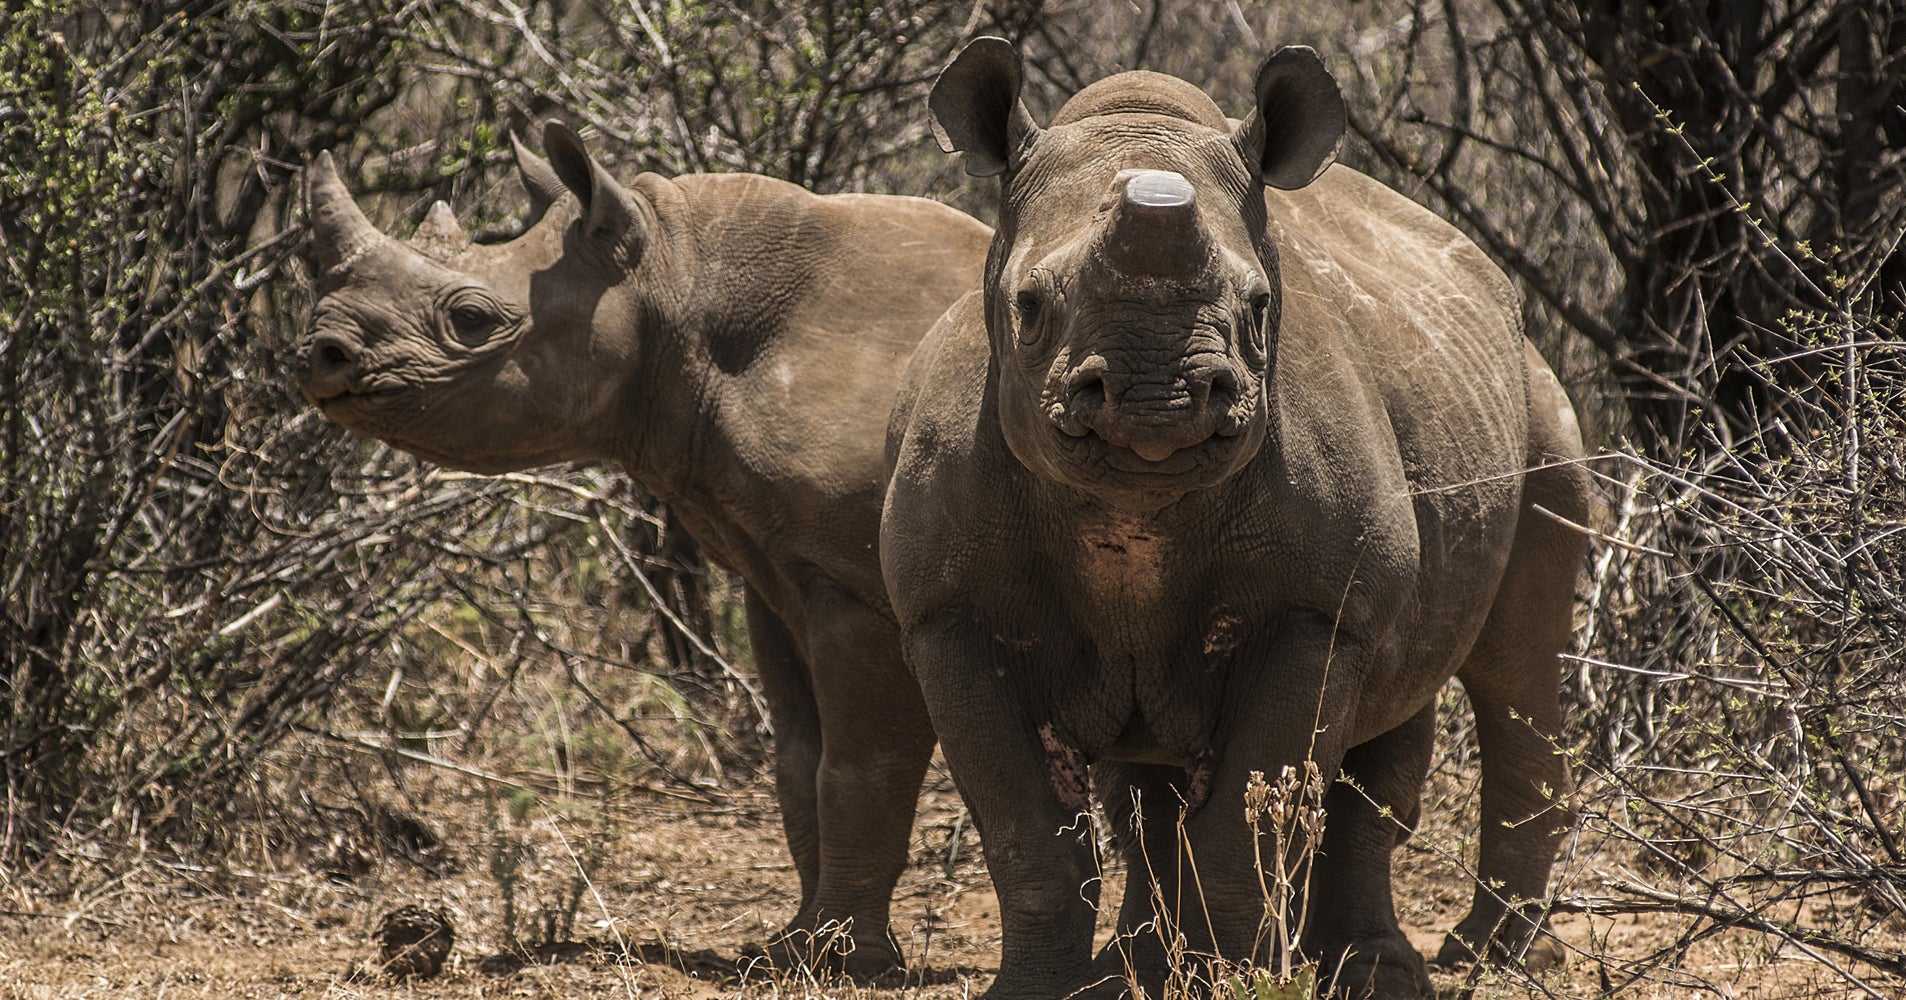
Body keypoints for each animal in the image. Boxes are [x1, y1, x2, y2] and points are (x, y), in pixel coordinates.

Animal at [297, 122, 992, 975]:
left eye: (471, 319)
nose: (319, 354)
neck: (671, 276)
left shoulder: (859, 581)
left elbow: (859, 769)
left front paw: (841, 962)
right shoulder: (777, 565)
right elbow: (799, 761)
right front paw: (784, 948)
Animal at [881, 38, 1590, 999]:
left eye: (1258, 308)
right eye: (1027, 306)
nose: (1158, 395)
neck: (1134, 512)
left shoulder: (1313, 613)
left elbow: (1242, 826)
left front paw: (1228, 980)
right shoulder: (947, 614)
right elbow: (1030, 838)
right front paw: (1034, 990)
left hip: (1542, 407)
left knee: (1514, 668)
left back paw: (1482, 958)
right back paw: (1144, 970)